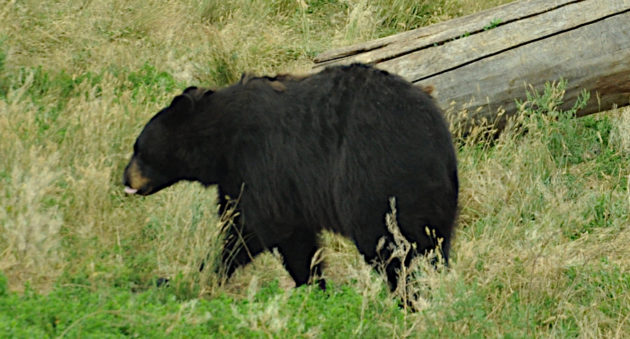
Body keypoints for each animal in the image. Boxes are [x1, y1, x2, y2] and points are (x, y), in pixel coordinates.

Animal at [123, 63, 460, 292]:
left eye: (138, 149)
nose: (126, 180)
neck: (221, 140)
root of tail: (434, 135)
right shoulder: (244, 180)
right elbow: (254, 225)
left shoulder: (264, 165)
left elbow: (263, 231)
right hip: (433, 197)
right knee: (432, 246)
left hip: (375, 181)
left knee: (388, 247)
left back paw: (405, 294)